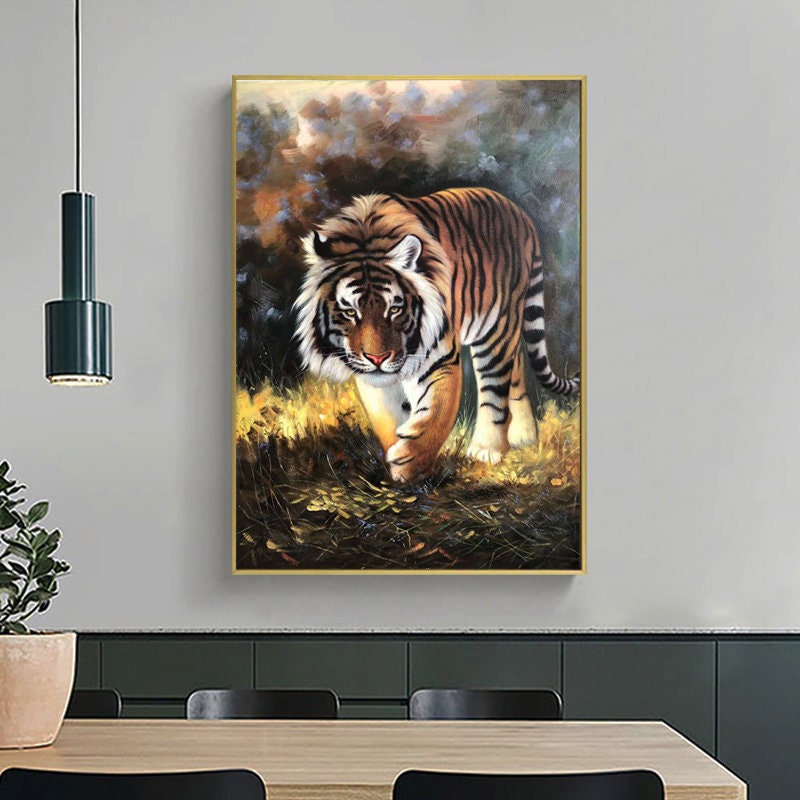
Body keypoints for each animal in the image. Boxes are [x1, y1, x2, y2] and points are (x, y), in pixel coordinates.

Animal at [294, 187, 579, 483]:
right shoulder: (374, 379)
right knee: (516, 369)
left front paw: (408, 464)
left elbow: (434, 416)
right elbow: (389, 416)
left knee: (495, 387)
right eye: (350, 312)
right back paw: (524, 436)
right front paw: (395, 454)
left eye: (394, 309)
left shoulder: (439, 359)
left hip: (497, 327)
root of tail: (521, 214)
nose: (378, 358)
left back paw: (487, 449)